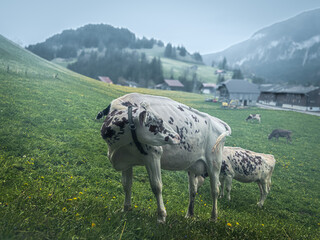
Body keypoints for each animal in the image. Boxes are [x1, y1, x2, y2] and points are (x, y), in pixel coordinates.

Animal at [96, 93, 231, 223]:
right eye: (158, 122)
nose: (177, 136)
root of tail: (217, 121)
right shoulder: (126, 159)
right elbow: (126, 184)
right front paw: (126, 209)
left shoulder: (153, 154)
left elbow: (156, 186)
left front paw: (161, 216)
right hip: (193, 166)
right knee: (193, 189)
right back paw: (189, 214)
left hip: (214, 163)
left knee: (215, 189)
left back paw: (213, 217)